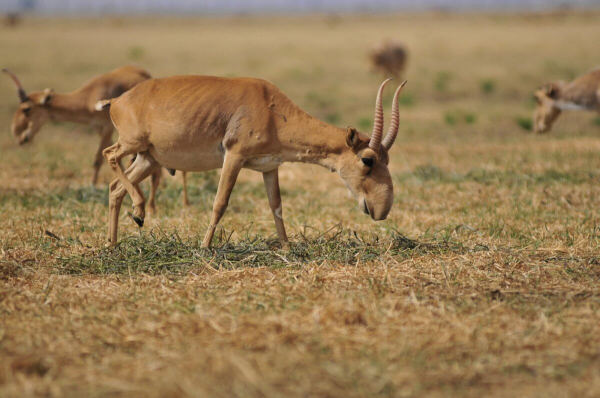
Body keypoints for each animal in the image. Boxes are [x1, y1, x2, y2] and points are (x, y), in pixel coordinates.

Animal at [1, 66, 176, 211]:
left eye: (26, 109)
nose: (18, 135)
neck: (88, 97)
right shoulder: (100, 130)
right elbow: (108, 160)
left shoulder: (107, 128)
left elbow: (98, 159)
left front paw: (92, 188)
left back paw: (152, 205)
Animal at [98, 76, 408, 247]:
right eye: (368, 160)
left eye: (387, 158)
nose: (381, 210)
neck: (271, 107)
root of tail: (117, 101)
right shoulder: (234, 157)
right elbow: (220, 202)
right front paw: (204, 247)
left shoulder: (269, 167)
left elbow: (276, 206)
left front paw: (287, 248)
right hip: (133, 145)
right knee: (109, 155)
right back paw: (139, 212)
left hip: (149, 159)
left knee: (115, 188)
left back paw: (114, 244)